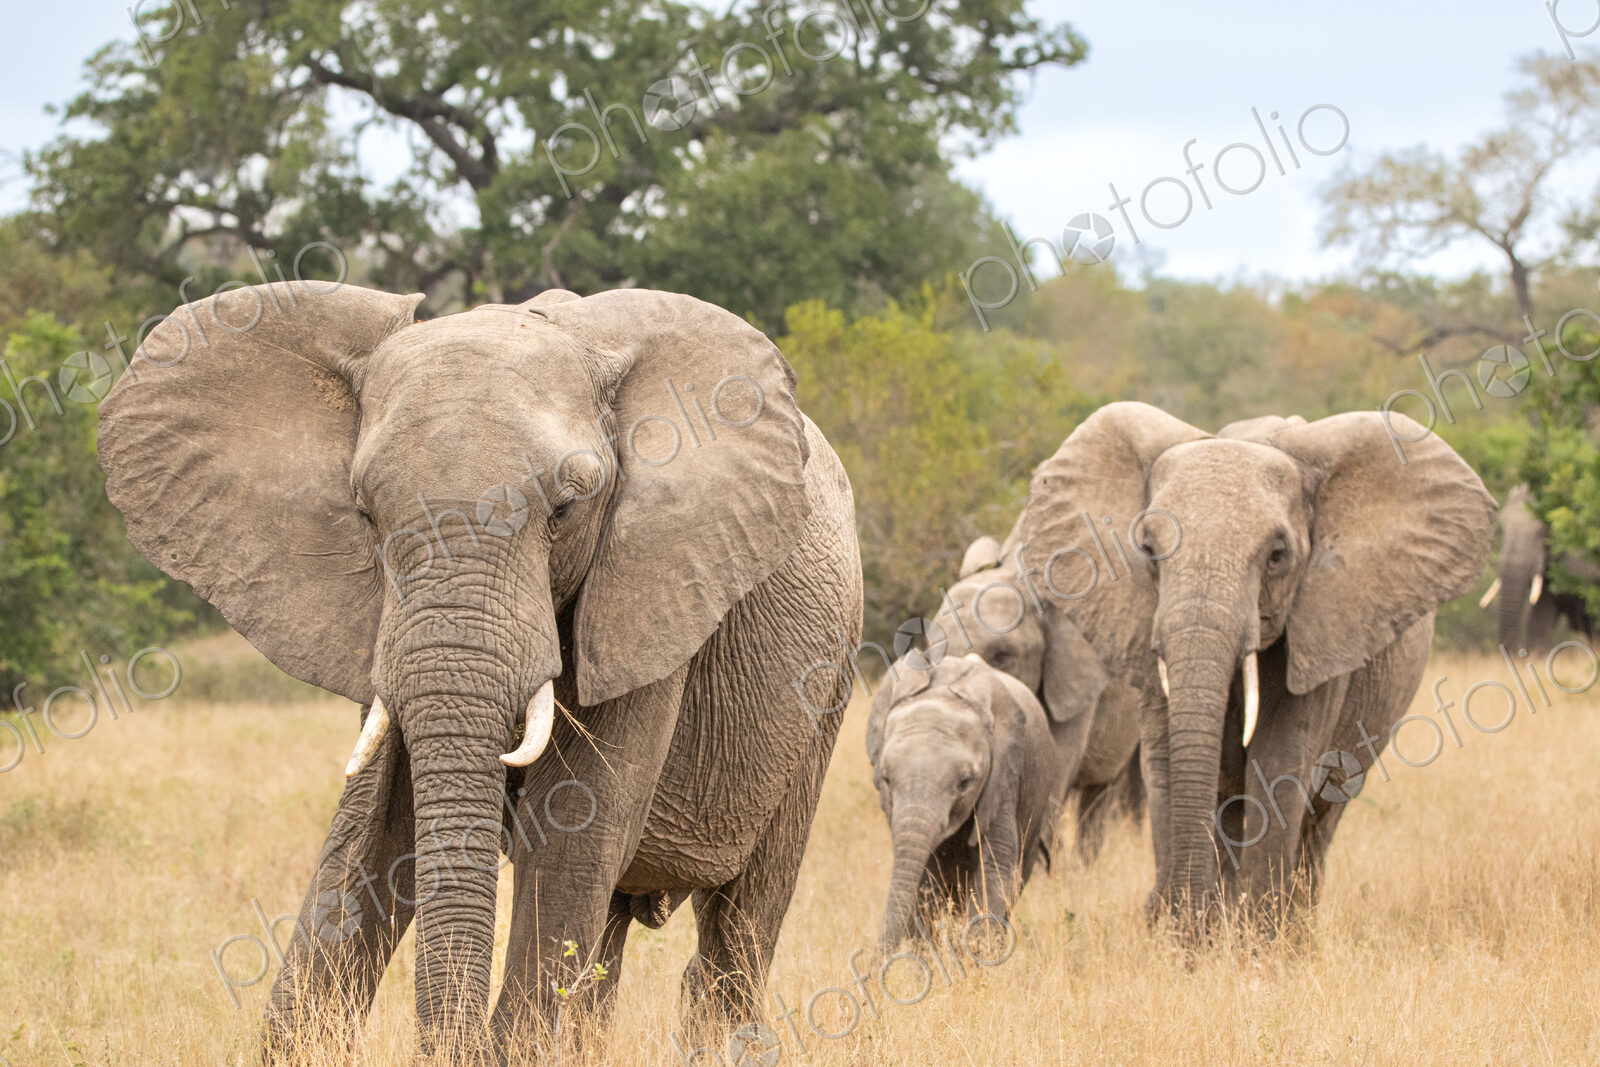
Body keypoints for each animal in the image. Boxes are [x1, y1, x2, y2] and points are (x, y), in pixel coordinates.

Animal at [96, 281, 863, 1058]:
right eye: (365, 515)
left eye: (565, 508)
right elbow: (373, 825)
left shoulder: (651, 597)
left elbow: (573, 830)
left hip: (829, 681)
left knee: (738, 925)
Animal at [989, 402, 1494, 928]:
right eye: (1147, 550)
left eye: (1277, 556)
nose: (1154, 908)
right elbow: (1167, 760)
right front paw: (1188, 936)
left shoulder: (1321, 632)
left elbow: (1279, 762)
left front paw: (1257, 938)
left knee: (1322, 816)